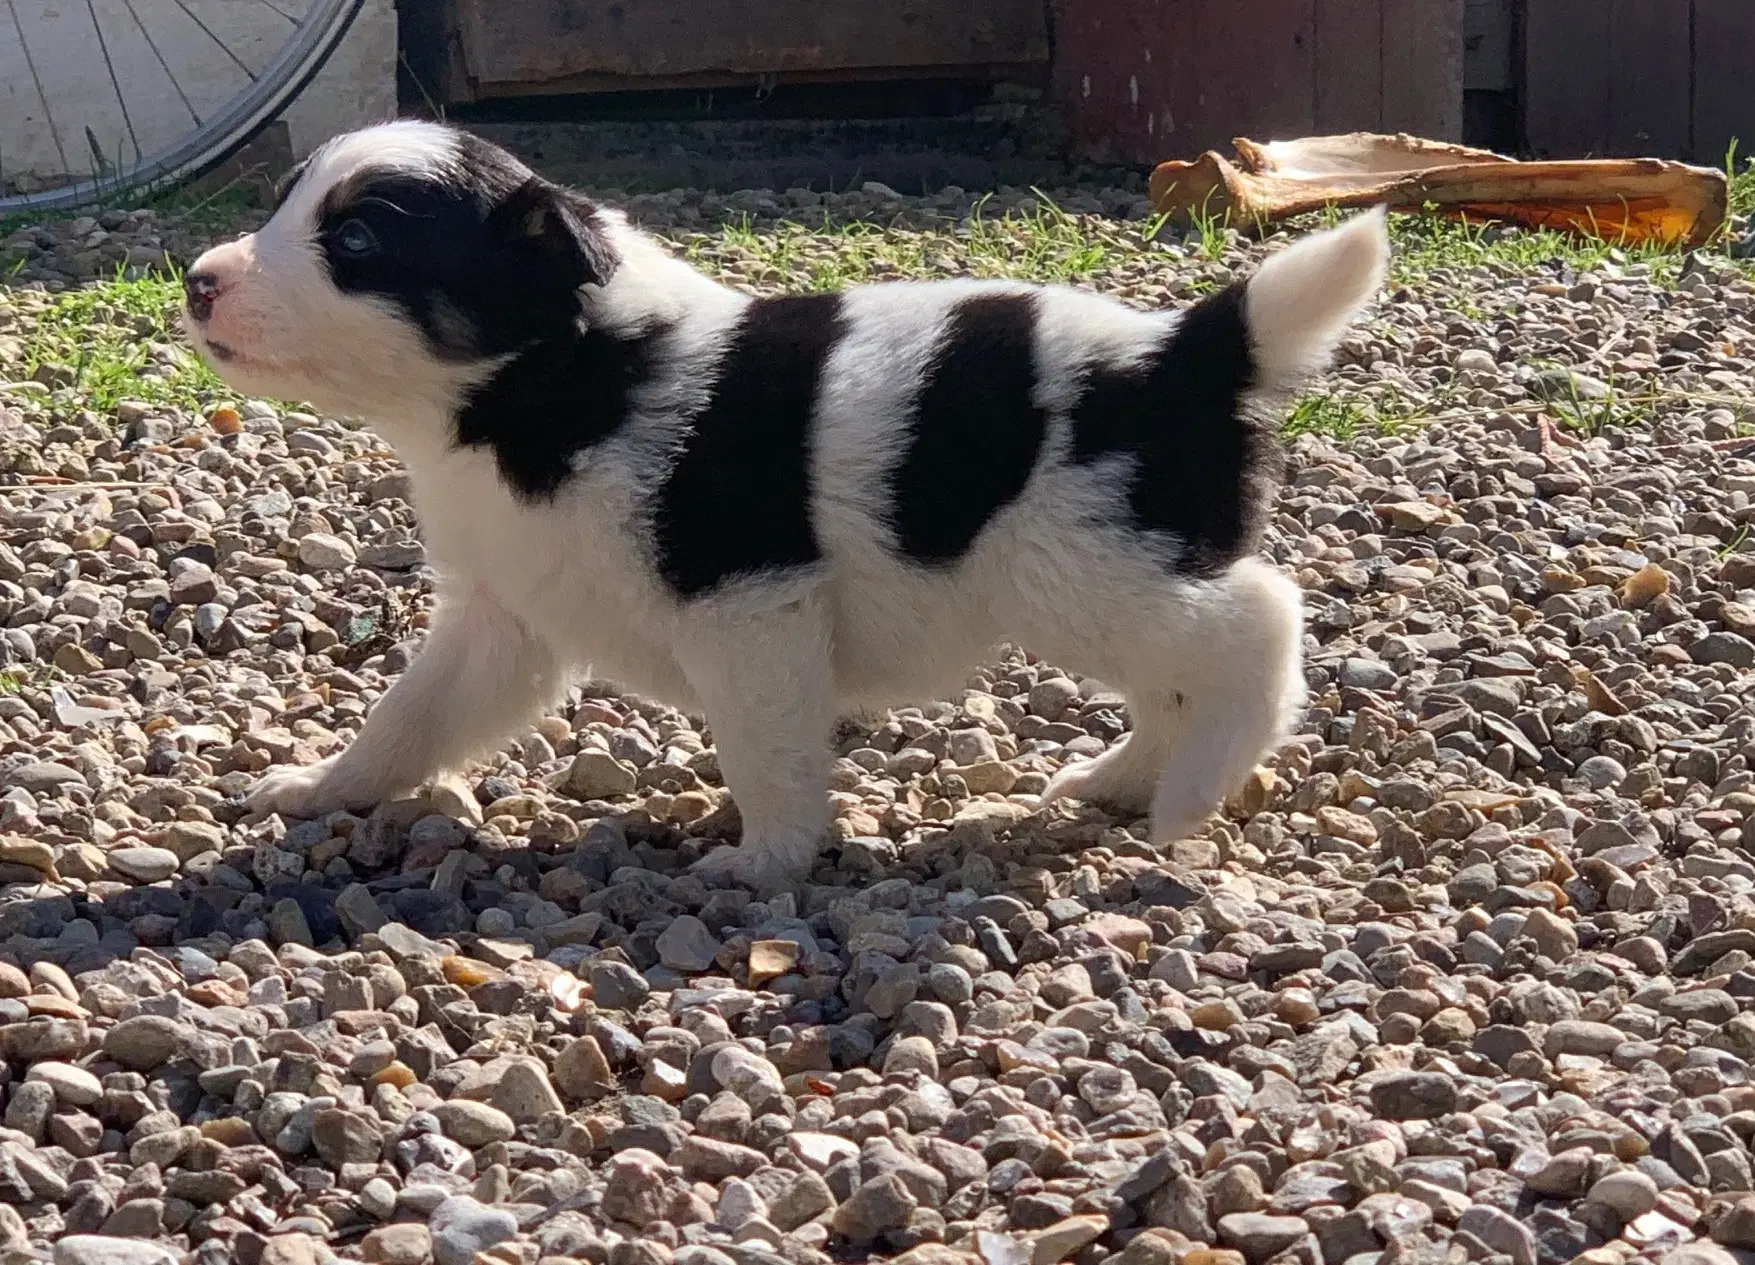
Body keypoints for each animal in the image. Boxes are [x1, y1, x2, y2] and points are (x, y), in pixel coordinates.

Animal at [178, 118, 1382, 887]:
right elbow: (410, 715)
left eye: (356, 240)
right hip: (1097, 580)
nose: (196, 279)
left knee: (1257, 623)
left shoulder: (747, 606)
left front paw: (767, 858)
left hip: (1081, 568)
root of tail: (1186, 352)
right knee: (1179, 672)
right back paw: (1126, 780)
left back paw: (1190, 794)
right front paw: (324, 788)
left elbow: (765, 745)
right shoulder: (502, 619)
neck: (553, 376)